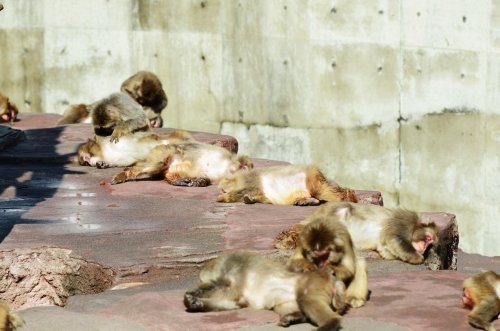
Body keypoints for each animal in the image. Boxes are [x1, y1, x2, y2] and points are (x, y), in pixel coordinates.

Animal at [185, 252, 348, 331]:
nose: (202, 276)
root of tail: (331, 276)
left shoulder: (232, 272)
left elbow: (225, 291)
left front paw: (196, 295)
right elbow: (234, 303)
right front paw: (194, 302)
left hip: (313, 281)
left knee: (307, 299)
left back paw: (330, 323)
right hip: (290, 298)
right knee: (289, 305)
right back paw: (292, 317)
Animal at [217, 166, 358, 208]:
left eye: (227, 179)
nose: (220, 186)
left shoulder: (252, 181)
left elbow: (244, 191)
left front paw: (222, 197)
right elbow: (258, 196)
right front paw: (249, 199)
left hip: (313, 179)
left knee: (324, 191)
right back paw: (307, 201)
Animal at [274, 201, 438, 266]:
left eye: (430, 243)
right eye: (428, 238)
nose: (424, 249)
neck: (414, 226)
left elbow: (385, 247)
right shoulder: (404, 219)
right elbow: (393, 237)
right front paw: (417, 258)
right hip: (328, 214)